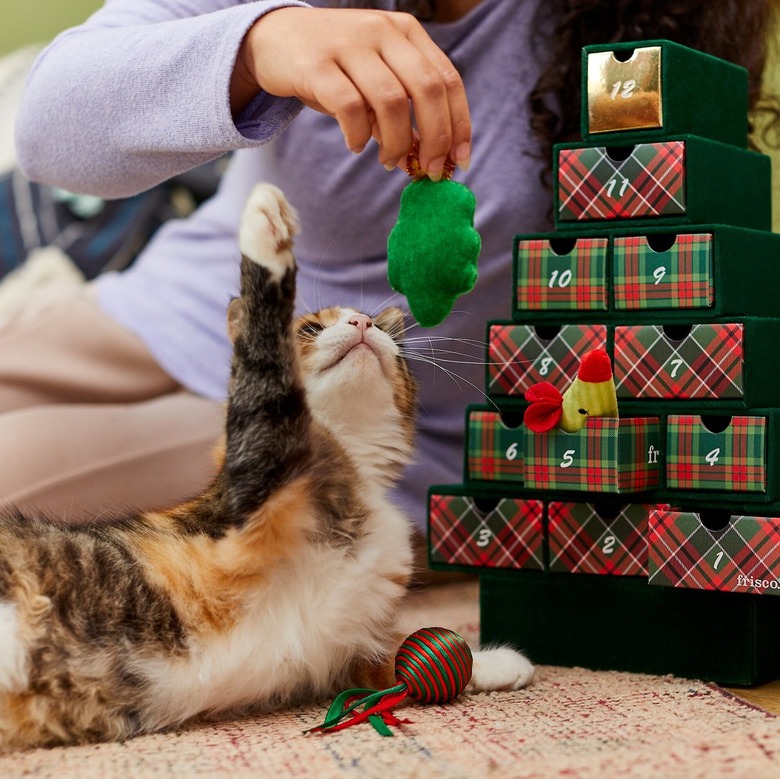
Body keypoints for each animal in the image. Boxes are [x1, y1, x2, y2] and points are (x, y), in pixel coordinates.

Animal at [0, 186, 532, 752]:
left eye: (390, 338)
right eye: (312, 326)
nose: (363, 323)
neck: (350, 464)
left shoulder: (351, 647)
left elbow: (398, 659)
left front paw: (496, 662)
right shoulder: (251, 479)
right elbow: (262, 363)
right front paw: (265, 237)